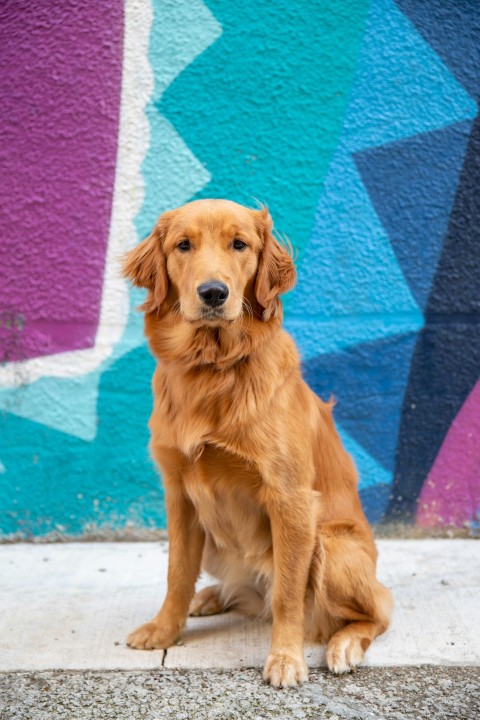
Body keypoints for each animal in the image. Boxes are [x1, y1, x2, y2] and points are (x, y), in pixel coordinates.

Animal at [122, 197, 392, 688]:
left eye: (239, 244)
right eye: (183, 245)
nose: (213, 293)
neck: (212, 368)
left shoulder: (290, 498)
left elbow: (287, 591)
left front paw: (285, 658)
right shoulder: (179, 494)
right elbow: (176, 572)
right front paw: (165, 629)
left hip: (332, 547)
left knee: (378, 610)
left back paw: (343, 645)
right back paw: (208, 597)